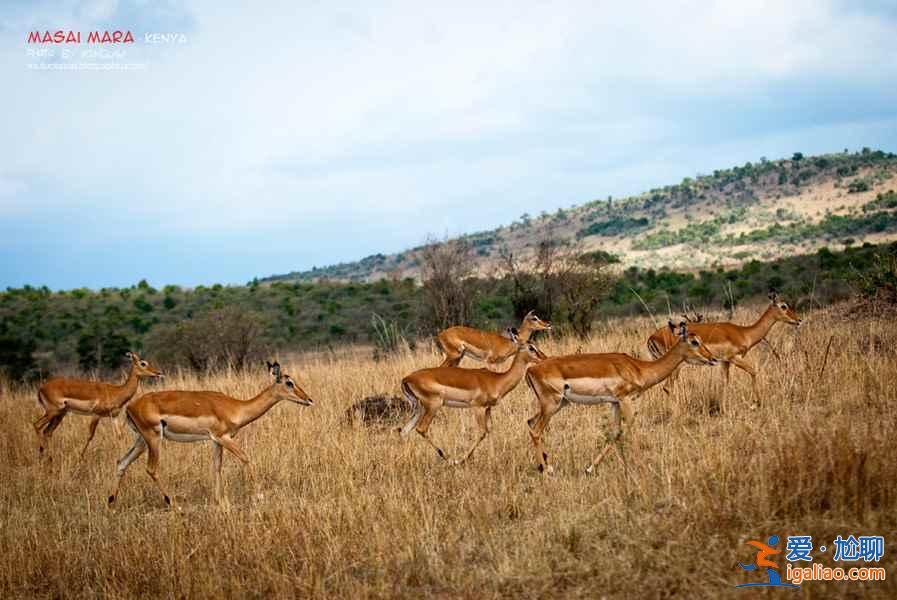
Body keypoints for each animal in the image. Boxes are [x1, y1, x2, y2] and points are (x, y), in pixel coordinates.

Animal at [33, 352, 164, 460]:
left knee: (47, 432)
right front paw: (80, 458)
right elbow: (90, 436)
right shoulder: (96, 414)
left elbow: (119, 435)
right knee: (37, 425)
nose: (158, 373)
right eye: (143, 363)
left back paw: (48, 458)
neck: (116, 391)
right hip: (53, 411)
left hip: (60, 414)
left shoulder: (114, 416)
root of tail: (41, 388)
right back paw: (41, 456)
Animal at [108, 360, 314, 506]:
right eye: (289, 383)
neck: (236, 407)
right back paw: (172, 503)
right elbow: (246, 458)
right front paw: (259, 496)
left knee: (121, 462)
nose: (309, 400)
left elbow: (216, 466)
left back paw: (111, 502)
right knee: (151, 468)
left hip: (141, 441)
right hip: (153, 439)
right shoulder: (224, 438)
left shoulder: (215, 440)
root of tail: (130, 406)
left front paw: (219, 501)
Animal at [400, 342, 544, 464]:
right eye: (531, 348)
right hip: (433, 406)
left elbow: (490, 430)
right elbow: (482, 432)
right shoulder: (478, 407)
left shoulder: (487, 409)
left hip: (418, 409)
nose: (544, 358)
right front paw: (463, 459)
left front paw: (492, 459)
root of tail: (406, 378)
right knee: (421, 428)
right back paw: (451, 459)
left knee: (404, 430)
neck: (497, 380)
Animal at [524, 326, 712, 476]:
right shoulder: (625, 399)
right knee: (536, 431)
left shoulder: (614, 402)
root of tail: (531, 370)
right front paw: (641, 466)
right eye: (694, 342)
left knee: (530, 422)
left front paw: (590, 468)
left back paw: (544, 466)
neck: (638, 368)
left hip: (557, 405)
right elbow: (631, 426)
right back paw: (547, 471)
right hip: (551, 405)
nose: (712, 358)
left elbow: (616, 432)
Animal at [644, 292, 800, 396]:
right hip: (676, 366)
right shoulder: (734, 358)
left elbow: (725, 383)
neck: (744, 333)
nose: (798, 320)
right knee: (667, 387)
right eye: (783, 306)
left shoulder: (725, 362)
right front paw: (756, 402)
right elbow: (753, 371)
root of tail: (651, 338)